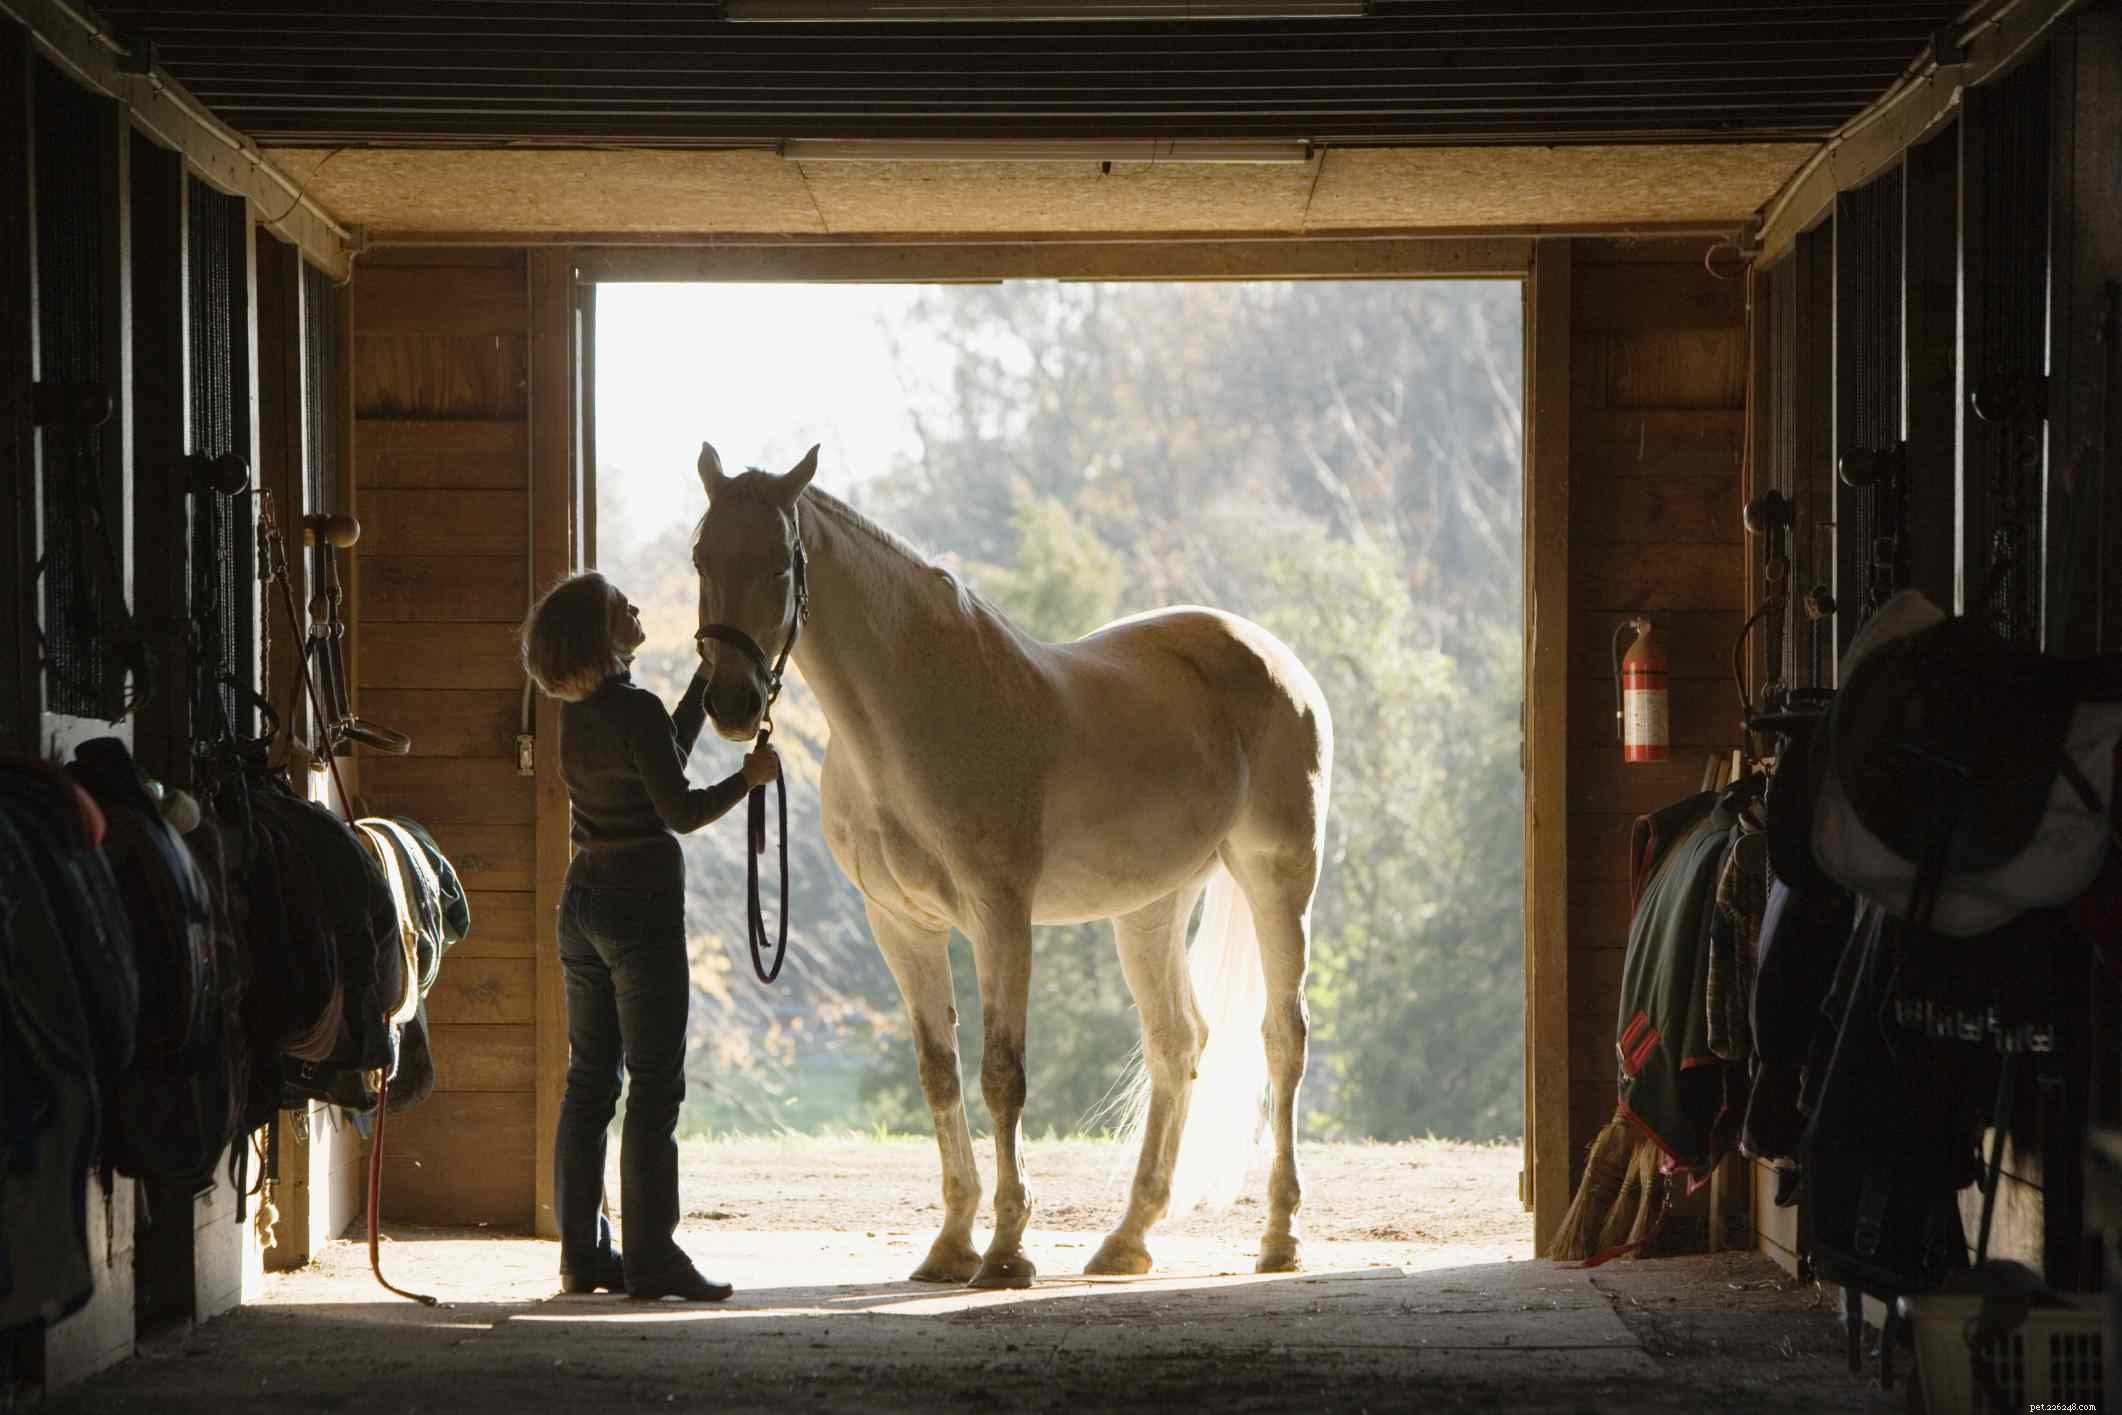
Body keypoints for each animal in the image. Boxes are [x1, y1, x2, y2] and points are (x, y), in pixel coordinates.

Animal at [689, 442, 1333, 1288]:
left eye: (777, 565)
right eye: (701, 556)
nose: (732, 705)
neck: (914, 712)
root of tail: (1277, 659)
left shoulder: (1001, 915)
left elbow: (1002, 1073)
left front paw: (1004, 1250)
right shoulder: (901, 924)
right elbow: (938, 1069)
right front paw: (950, 1244)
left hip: (1277, 877)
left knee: (1282, 1038)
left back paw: (1280, 1236)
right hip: (1150, 905)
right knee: (1177, 1041)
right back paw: (1127, 1238)